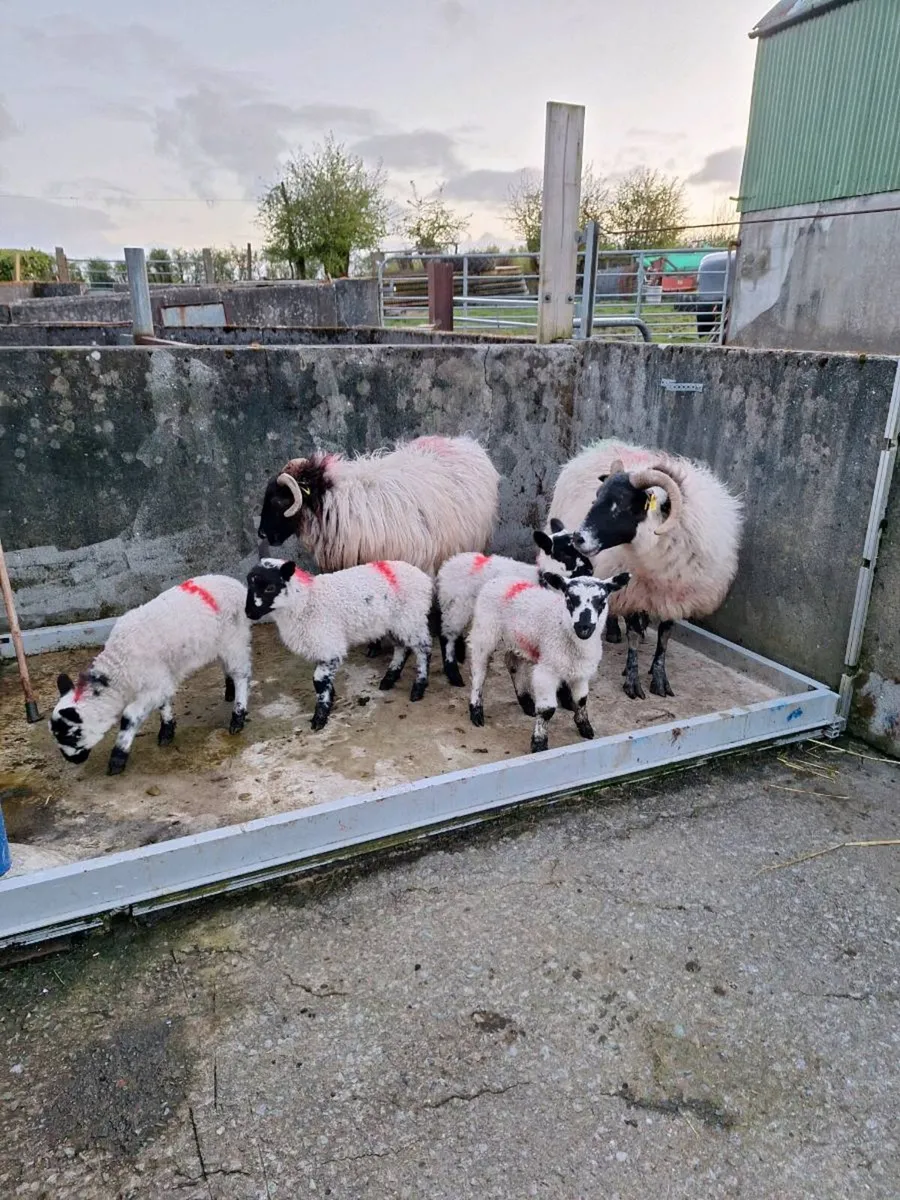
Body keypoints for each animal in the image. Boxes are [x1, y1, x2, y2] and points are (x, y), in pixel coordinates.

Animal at [49, 575, 252, 776]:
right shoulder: (159, 680)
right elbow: (163, 703)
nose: (72, 760)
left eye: (71, 735)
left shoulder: (153, 683)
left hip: (234, 637)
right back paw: (229, 691)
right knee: (228, 667)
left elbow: (129, 717)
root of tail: (237, 585)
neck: (119, 666)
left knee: (241, 674)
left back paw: (237, 716)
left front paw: (117, 759)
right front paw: (167, 731)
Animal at [245, 557, 434, 731]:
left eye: (270, 587)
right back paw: (389, 678)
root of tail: (423, 577)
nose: (249, 613)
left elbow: (318, 680)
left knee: (423, 648)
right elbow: (323, 679)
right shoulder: (319, 644)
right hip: (394, 623)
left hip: (411, 617)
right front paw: (330, 696)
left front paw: (320, 716)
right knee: (402, 647)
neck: (306, 601)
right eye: (249, 584)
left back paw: (418, 688)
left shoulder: (328, 644)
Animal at [436, 520, 593, 687]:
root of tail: (447, 565)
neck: (542, 579)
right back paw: (454, 675)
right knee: (447, 635)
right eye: (565, 554)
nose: (590, 570)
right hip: (457, 604)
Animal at [467, 567, 631, 753]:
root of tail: (499, 580)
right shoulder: (547, 670)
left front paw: (585, 727)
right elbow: (547, 710)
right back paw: (476, 711)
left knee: (512, 662)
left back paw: (526, 702)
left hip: (520, 638)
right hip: (485, 628)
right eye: (570, 599)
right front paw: (539, 743)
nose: (584, 627)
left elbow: (581, 700)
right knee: (479, 669)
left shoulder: (581, 671)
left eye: (602, 602)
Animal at [548, 438, 743, 701]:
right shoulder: (632, 591)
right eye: (596, 498)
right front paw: (632, 681)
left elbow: (664, 637)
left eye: (621, 504)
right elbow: (631, 637)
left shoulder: (676, 595)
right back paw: (614, 632)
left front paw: (659, 678)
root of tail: (605, 444)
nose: (578, 538)